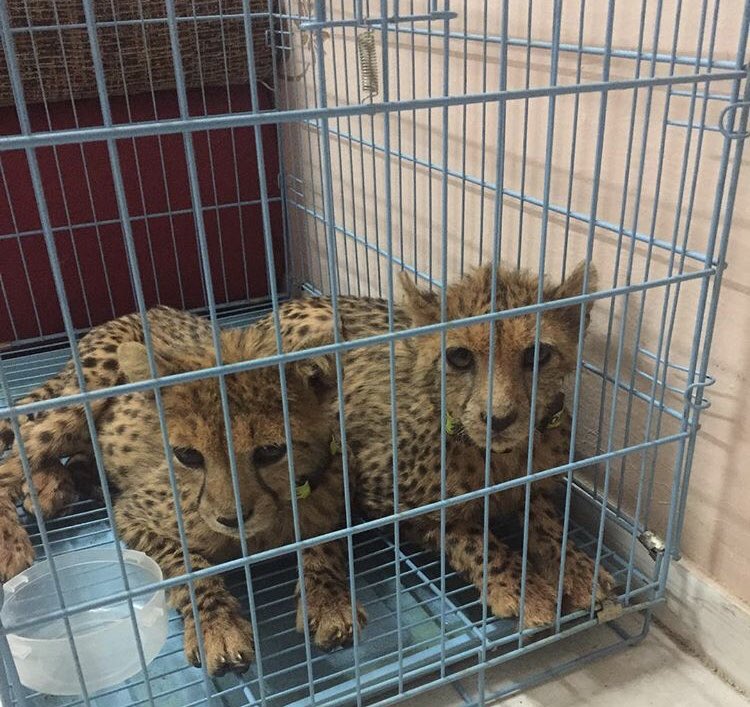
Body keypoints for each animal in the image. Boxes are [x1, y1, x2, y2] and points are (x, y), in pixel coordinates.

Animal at [0, 307, 366, 675]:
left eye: (270, 451)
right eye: (188, 455)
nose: (231, 518)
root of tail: (149, 310)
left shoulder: (336, 488)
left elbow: (324, 540)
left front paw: (328, 599)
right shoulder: (133, 515)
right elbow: (188, 567)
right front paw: (216, 626)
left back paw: (62, 482)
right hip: (86, 390)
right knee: (20, 447)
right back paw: (18, 532)